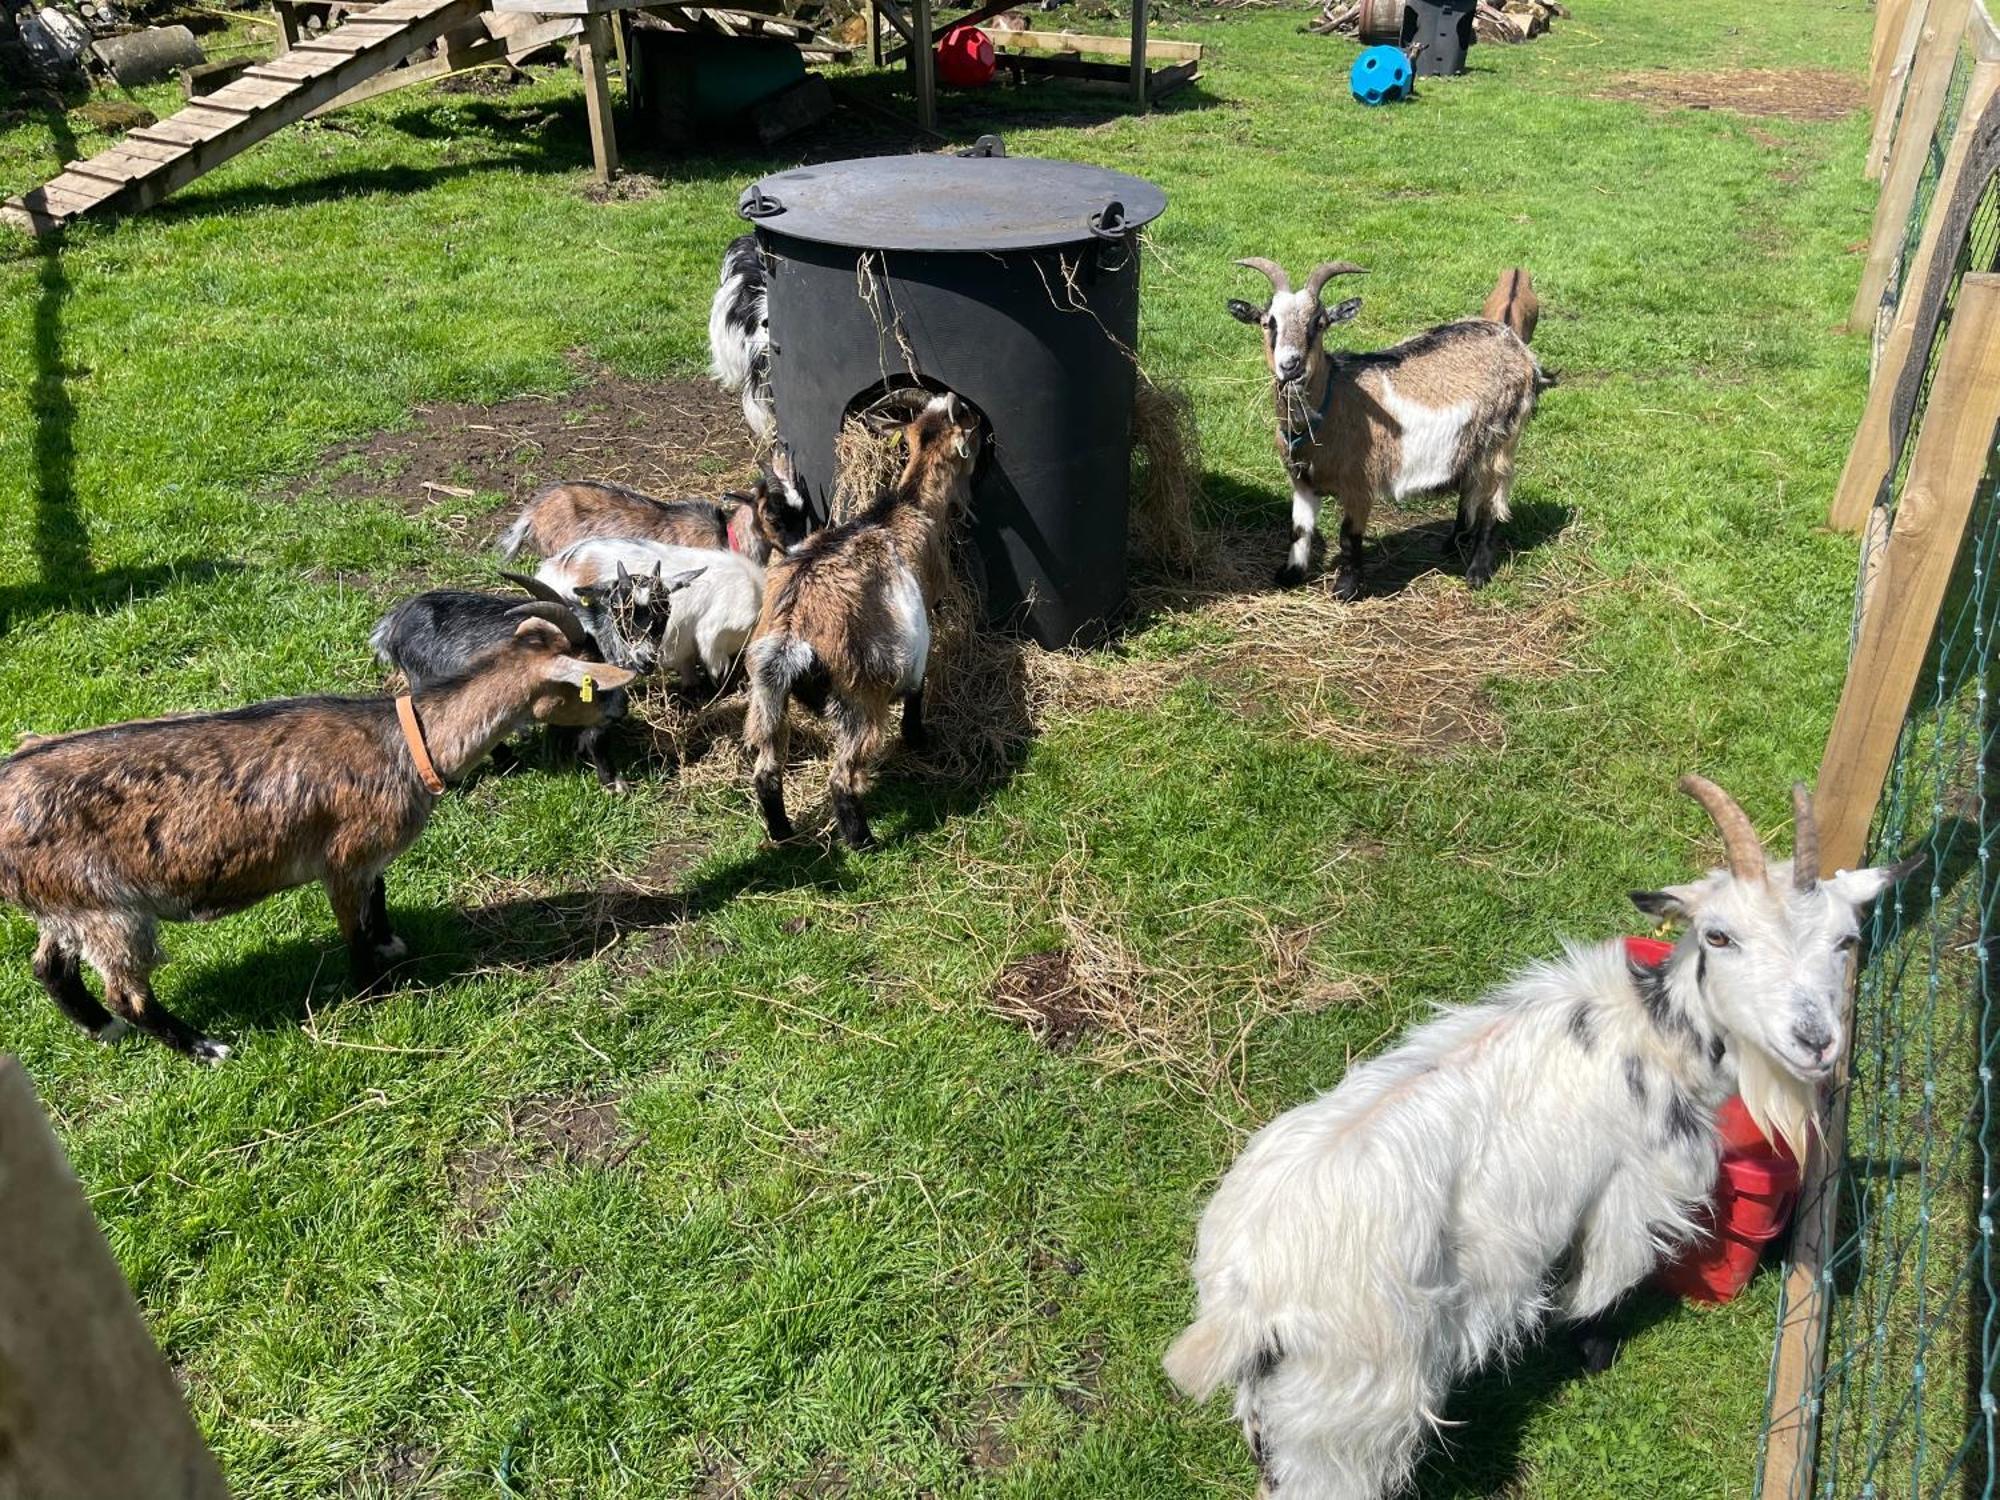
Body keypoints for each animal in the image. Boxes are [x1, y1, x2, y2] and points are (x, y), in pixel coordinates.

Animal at [0, 604, 632, 1064]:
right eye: (593, 680)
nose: (623, 709)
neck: (406, 742)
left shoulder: (371, 860)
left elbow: (380, 897)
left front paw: (391, 943)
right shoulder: (345, 856)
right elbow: (352, 926)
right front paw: (373, 989)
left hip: (65, 903)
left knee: (48, 967)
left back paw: (101, 1028)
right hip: (110, 910)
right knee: (126, 990)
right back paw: (205, 1047)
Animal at [740, 394, 980, 852]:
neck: (908, 506)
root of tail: (791, 635)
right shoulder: (919, 627)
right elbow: (917, 688)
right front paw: (918, 738)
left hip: (765, 693)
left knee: (766, 770)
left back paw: (782, 834)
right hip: (858, 693)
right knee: (842, 777)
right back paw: (863, 841)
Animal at [1168, 780, 1920, 1496]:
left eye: (1845, 941)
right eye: (1719, 936)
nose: (1816, 1042)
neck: (1652, 1031)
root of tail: (1246, 1295)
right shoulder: (1632, 1194)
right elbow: (1599, 1285)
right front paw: (1593, 1351)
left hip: (1285, 1400)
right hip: (1354, 1403)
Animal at [1232, 262, 1544, 596]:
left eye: (1320, 323)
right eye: (1268, 322)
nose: (1291, 366)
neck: (1332, 402)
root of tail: (1516, 346)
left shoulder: (1360, 483)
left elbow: (1348, 535)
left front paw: (1346, 589)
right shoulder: (1302, 481)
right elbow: (1299, 530)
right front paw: (1290, 575)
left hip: (1501, 438)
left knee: (1492, 502)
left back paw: (1477, 572)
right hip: (1472, 443)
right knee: (1470, 488)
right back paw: (1452, 543)